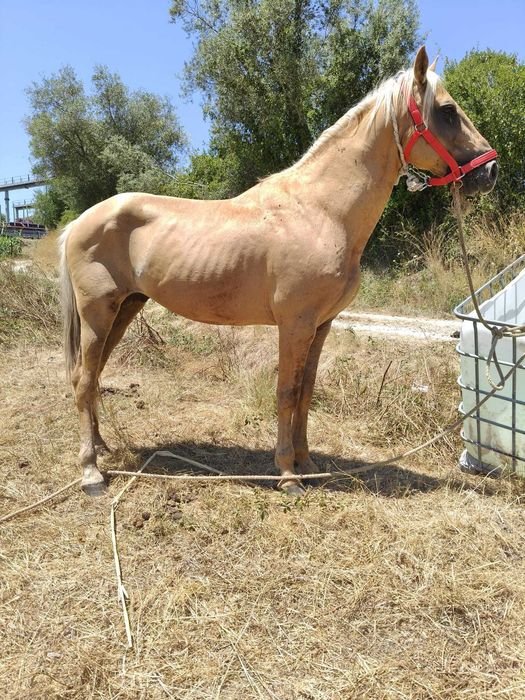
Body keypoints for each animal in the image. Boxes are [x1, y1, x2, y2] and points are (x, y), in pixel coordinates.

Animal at [60, 46, 498, 497]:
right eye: (447, 111)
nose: (490, 171)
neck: (320, 211)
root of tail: (79, 223)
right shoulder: (294, 324)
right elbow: (286, 392)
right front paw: (287, 474)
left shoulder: (320, 326)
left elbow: (305, 393)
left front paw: (308, 462)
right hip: (97, 313)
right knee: (83, 379)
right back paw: (91, 472)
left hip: (125, 309)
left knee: (92, 376)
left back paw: (102, 447)